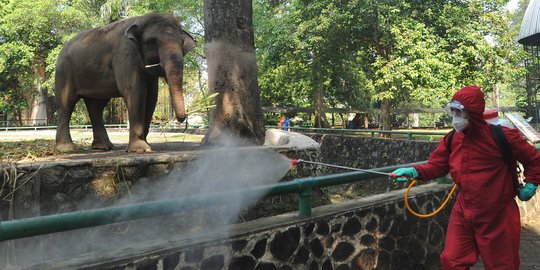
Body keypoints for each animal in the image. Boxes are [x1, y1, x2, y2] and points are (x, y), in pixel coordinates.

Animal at [54, 12, 196, 153]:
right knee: (67, 103)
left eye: (182, 42)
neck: (140, 20)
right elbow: (135, 91)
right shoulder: (125, 53)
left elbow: (151, 98)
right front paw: (140, 149)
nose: (182, 120)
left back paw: (103, 147)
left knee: (96, 107)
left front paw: (146, 145)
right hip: (64, 70)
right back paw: (67, 148)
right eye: (153, 41)